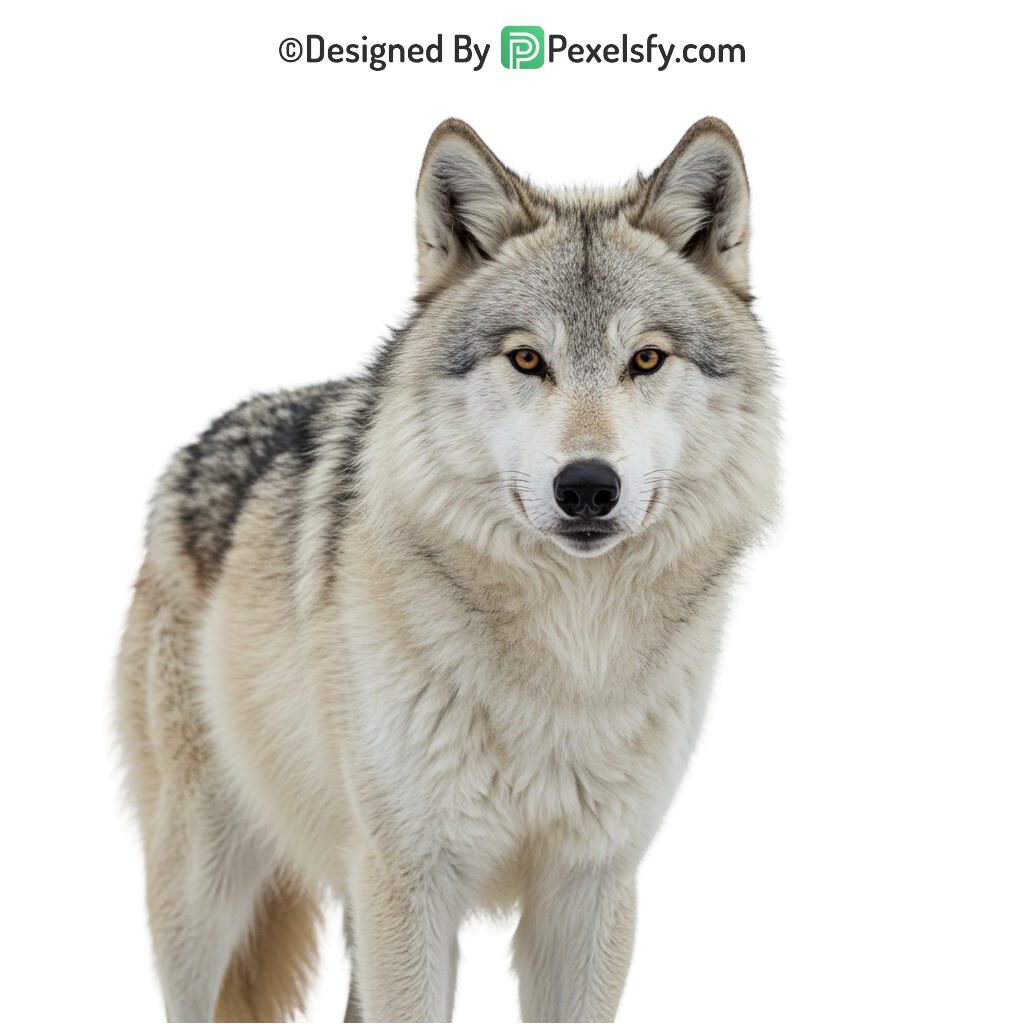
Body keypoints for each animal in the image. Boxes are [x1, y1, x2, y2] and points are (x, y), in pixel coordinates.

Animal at [102, 112, 792, 1022]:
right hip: (203, 899)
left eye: (646, 360)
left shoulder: (594, 889)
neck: (569, 661)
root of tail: (191, 442)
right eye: (527, 360)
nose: (587, 487)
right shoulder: (411, 881)